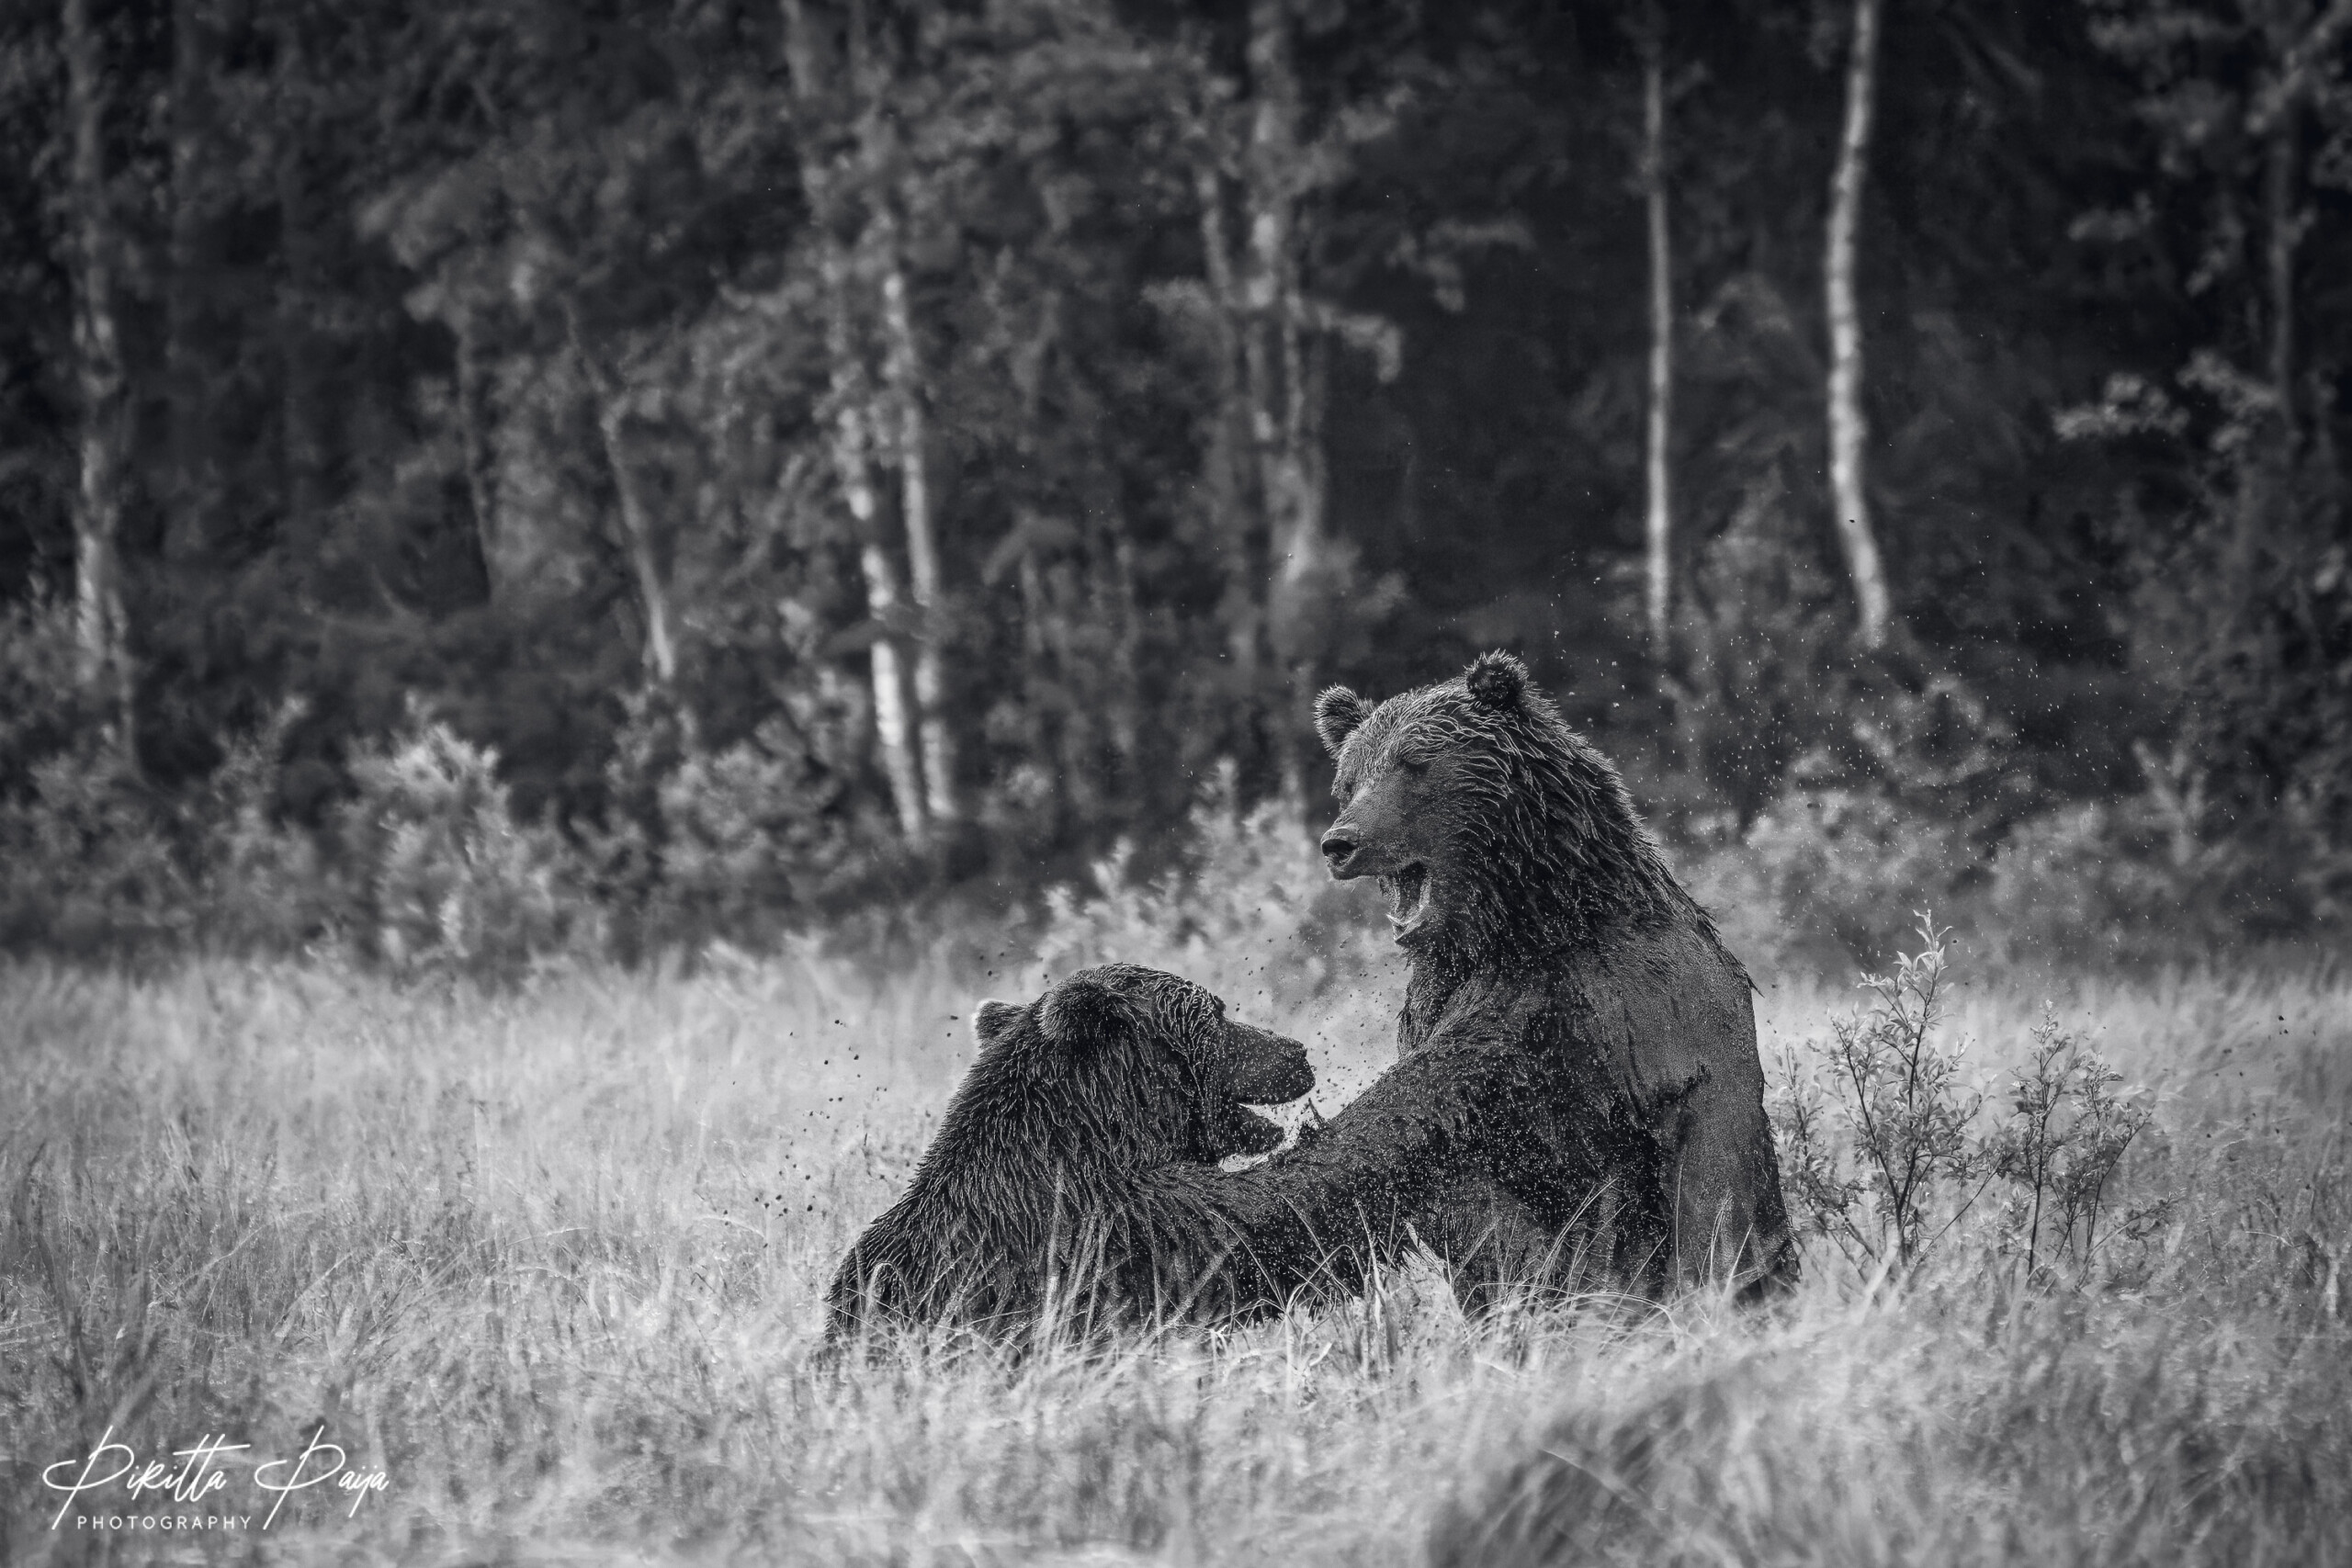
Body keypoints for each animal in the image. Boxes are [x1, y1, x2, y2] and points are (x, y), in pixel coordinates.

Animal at [1128, 649, 1787, 1316]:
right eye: (1349, 779)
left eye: (1413, 764)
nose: (1341, 842)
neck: (1525, 921)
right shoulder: (1458, 1014)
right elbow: (1446, 1158)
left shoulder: (1619, 1003)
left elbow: (1704, 1181)